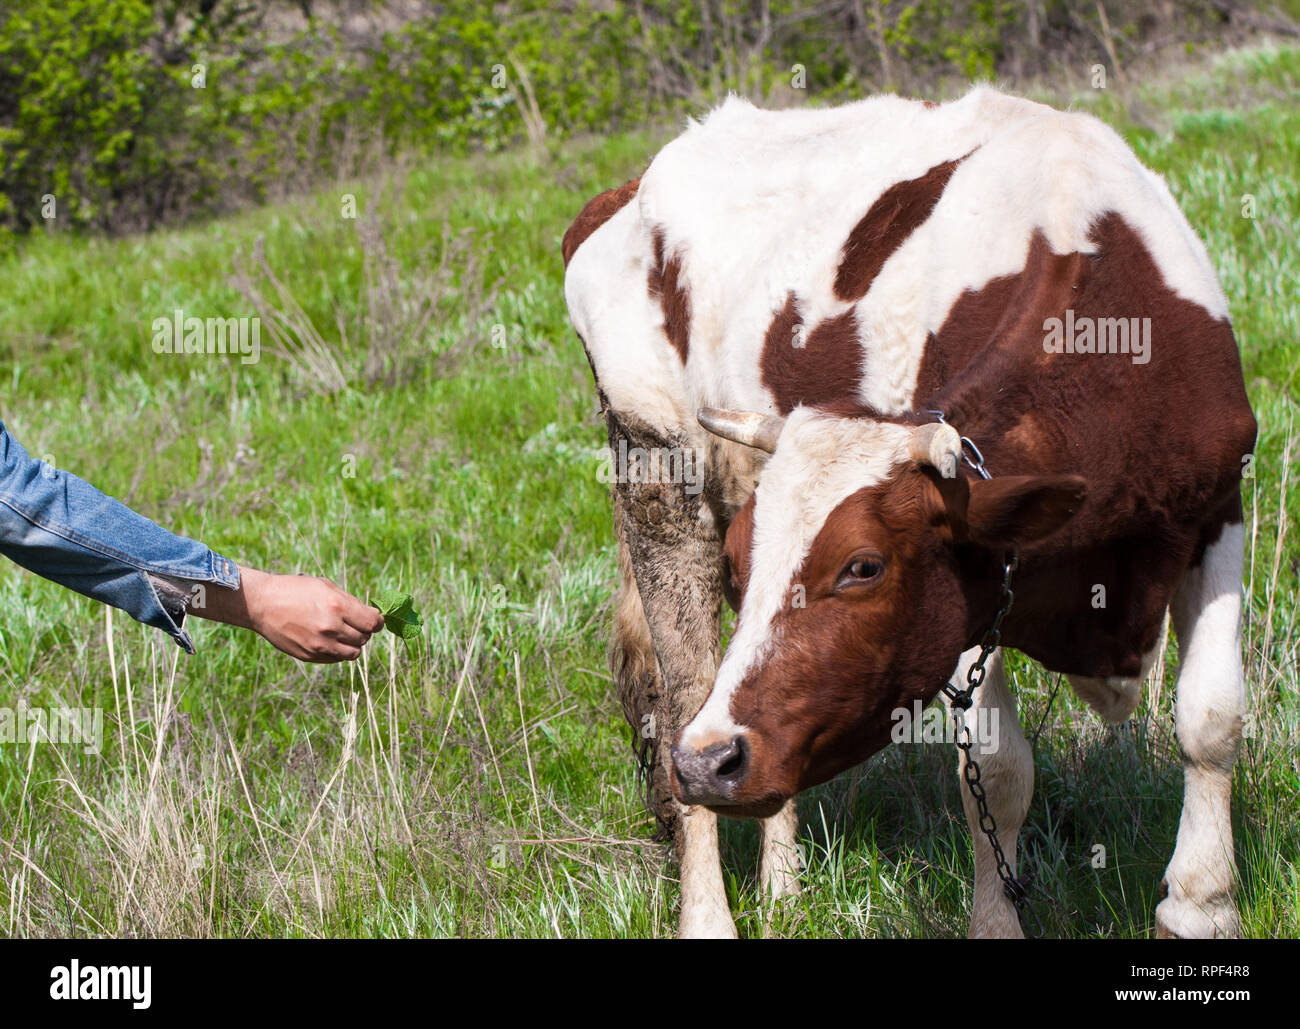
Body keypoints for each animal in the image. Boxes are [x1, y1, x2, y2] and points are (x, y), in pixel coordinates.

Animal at [562, 86, 1256, 939]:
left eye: (863, 566)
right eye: (740, 560)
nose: (714, 762)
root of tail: (630, 190)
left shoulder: (1219, 504)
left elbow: (1212, 717)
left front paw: (1201, 906)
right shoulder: (970, 587)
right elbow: (996, 768)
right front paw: (996, 922)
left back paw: (785, 890)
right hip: (655, 477)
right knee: (683, 700)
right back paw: (710, 916)